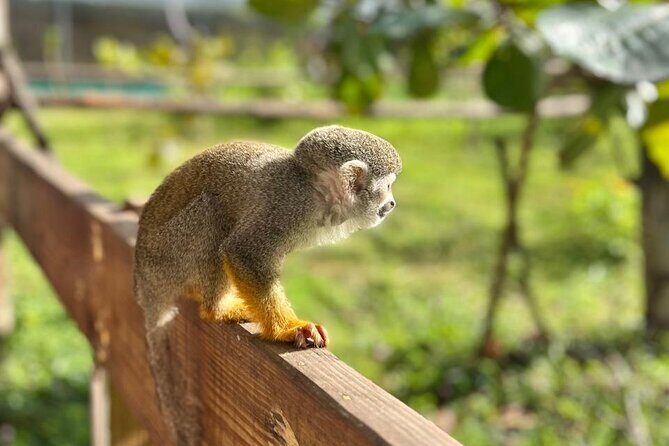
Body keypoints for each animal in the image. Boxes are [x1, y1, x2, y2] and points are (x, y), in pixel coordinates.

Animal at [133, 125, 401, 445]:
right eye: (387, 186)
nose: (392, 204)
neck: (313, 188)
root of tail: (143, 281)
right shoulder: (287, 208)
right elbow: (243, 252)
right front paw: (288, 328)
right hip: (166, 255)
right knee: (211, 213)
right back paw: (217, 309)